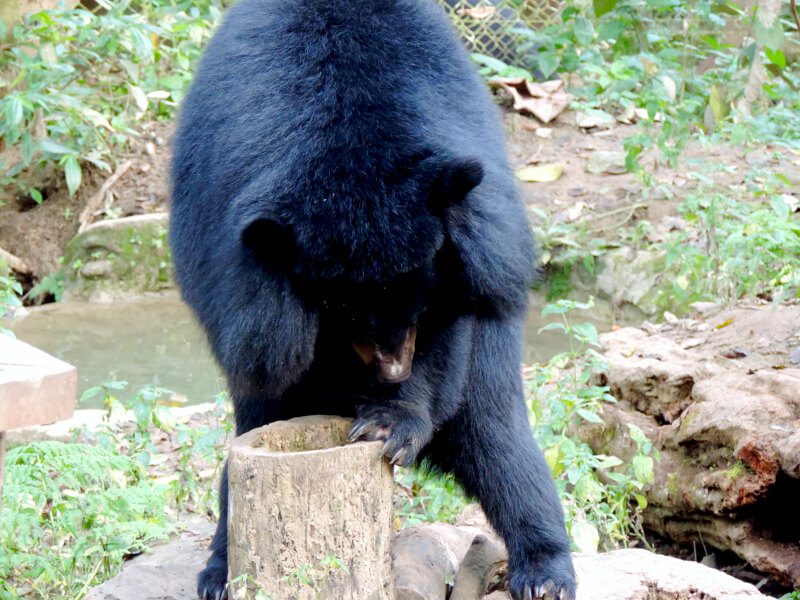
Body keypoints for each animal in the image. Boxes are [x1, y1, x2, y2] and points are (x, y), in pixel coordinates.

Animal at [169, 0, 577, 598]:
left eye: (421, 304)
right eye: (344, 314)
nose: (392, 370)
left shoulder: (466, 249)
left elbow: (452, 342)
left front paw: (388, 421)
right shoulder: (227, 267)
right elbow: (275, 373)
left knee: (498, 437)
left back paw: (544, 573)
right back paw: (220, 572)